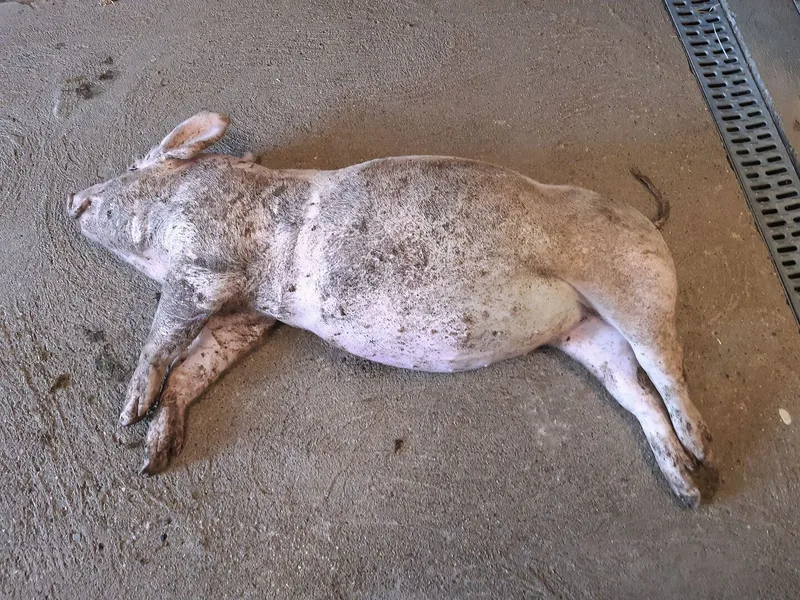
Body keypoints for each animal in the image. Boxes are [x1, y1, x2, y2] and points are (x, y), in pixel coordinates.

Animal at [68, 112, 713, 507]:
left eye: (135, 167)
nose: (72, 197)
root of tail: (648, 223)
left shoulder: (205, 263)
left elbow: (165, 335)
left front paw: (126, 415)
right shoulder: (248, 314)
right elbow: (199, 363)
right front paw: (152, 457)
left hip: (633, 288)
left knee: (667, 365)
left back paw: (703, 448)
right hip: (588, 335)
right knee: (635, 390)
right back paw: (687, 485)